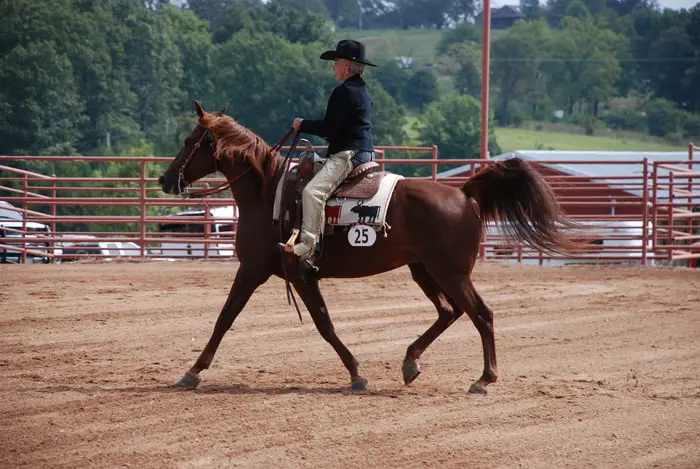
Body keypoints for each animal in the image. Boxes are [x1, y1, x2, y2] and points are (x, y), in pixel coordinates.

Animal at [159, 100, 580, 394]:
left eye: (188, 141)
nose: (165, 179)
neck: (269, 194)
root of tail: (463, 194)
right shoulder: (293, 275)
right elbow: (316, 322)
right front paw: (357, 373)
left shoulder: (262, 270)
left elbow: (232, 317)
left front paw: (191, 372)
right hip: (424, 270)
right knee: (450, 311)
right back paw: (411, 363)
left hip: (450, 272)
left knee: (481, 313)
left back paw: (483, 379)